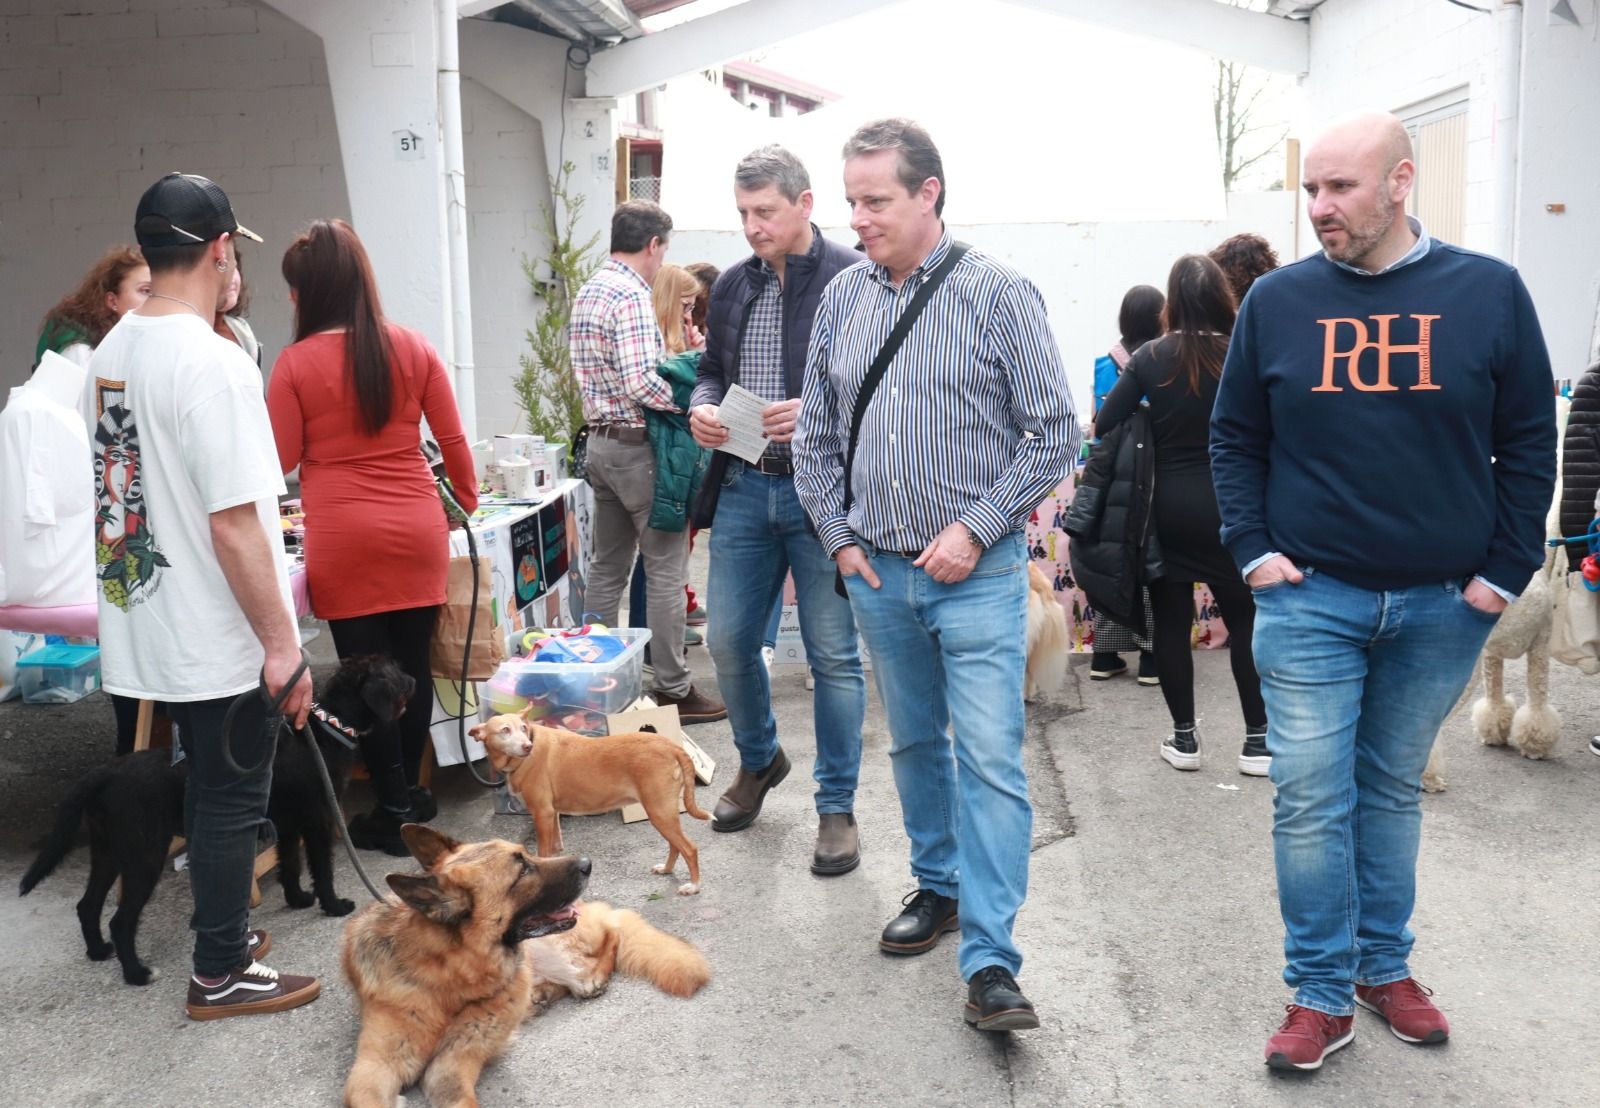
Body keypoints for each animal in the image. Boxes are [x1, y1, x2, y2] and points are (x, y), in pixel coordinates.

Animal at [17, 653, 412, 979]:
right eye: (393, 670)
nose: (414, 679)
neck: (326, 729)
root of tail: (106, 772)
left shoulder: (287, 826)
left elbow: (289, 865)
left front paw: (298, 899)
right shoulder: (318, 821)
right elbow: (322, 869)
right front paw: (333, 905)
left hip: (108, 851)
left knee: (87, 905)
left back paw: (98, 951)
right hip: (143, 858)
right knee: (120, 920)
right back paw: (136, 973)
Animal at [467, 714, 707, 896]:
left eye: (523, 728)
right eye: (505, 730)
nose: (527, 746)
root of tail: (671, 746)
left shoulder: (542, 813)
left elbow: (543, 854)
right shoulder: (552, 816)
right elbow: (554, 851)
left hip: (659, 812)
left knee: (689, 848)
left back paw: (694, 886)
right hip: (663, 812)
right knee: (675, 845)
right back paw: (667, 869)